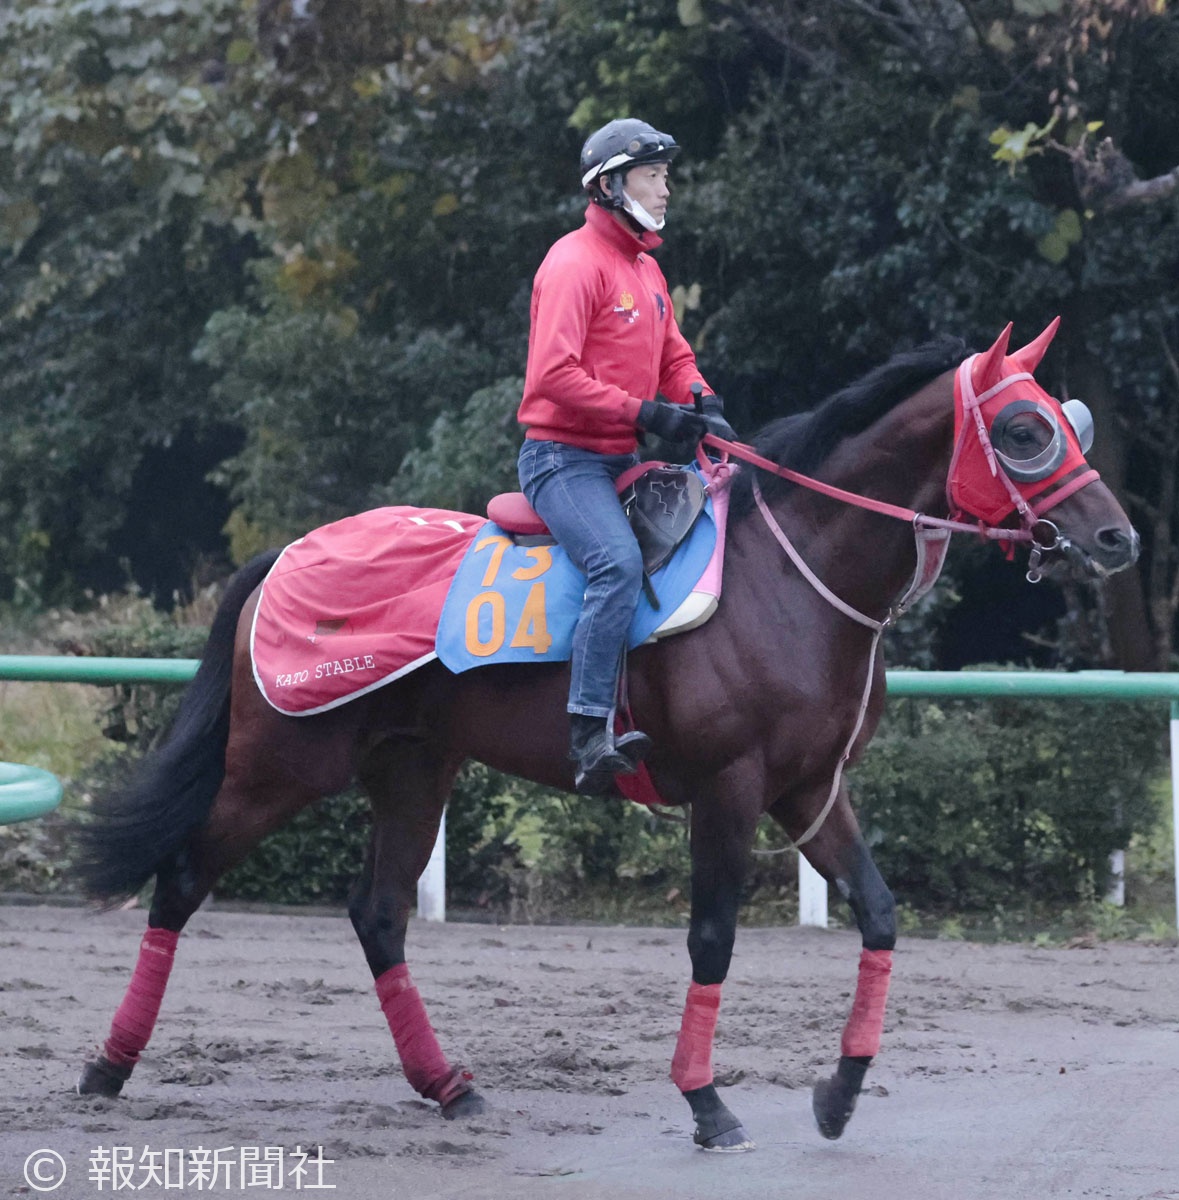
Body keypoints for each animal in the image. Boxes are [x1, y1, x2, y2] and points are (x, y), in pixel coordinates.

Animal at [71, 321, 1133, 1152]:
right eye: (1026, 429)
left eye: (1064, 417)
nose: (1118, 538)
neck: (791, 576)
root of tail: (288, 552)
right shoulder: (730, 788)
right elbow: (711, 938)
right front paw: (706, 1104)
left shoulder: (808, 791)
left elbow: (877, 913)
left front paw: (837, 1093)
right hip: (280, 764)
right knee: (181, 877)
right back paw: (108, 1067)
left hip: (414, 767)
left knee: (377, 915)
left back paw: (448, 1086)